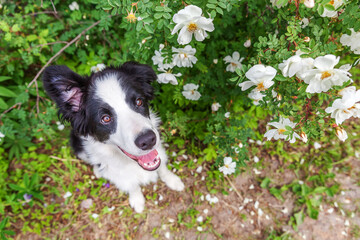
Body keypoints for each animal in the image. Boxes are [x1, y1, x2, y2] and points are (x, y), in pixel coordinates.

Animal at [42, 62, 186, 212]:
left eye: (139, 101)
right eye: (106, 118)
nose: (148, 140)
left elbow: (162, 166)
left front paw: (173, 180)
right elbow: (131, 184)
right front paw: (137, 200)